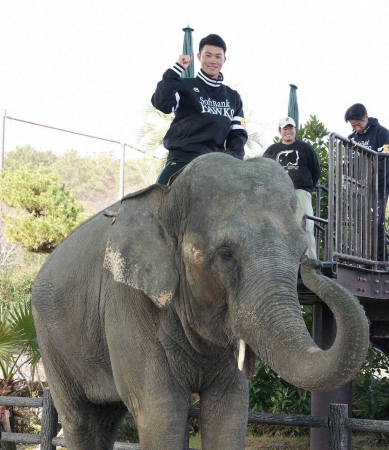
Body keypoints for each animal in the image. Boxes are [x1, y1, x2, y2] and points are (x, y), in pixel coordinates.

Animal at [31, 154, 368, 450]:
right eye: (225, 255)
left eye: (299, 253)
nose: (316, 264)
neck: (165, 199)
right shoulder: (126, 301)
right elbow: (161, 411)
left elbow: (229, 410)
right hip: (51, 343)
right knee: (80, 419)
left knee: (108, 417)